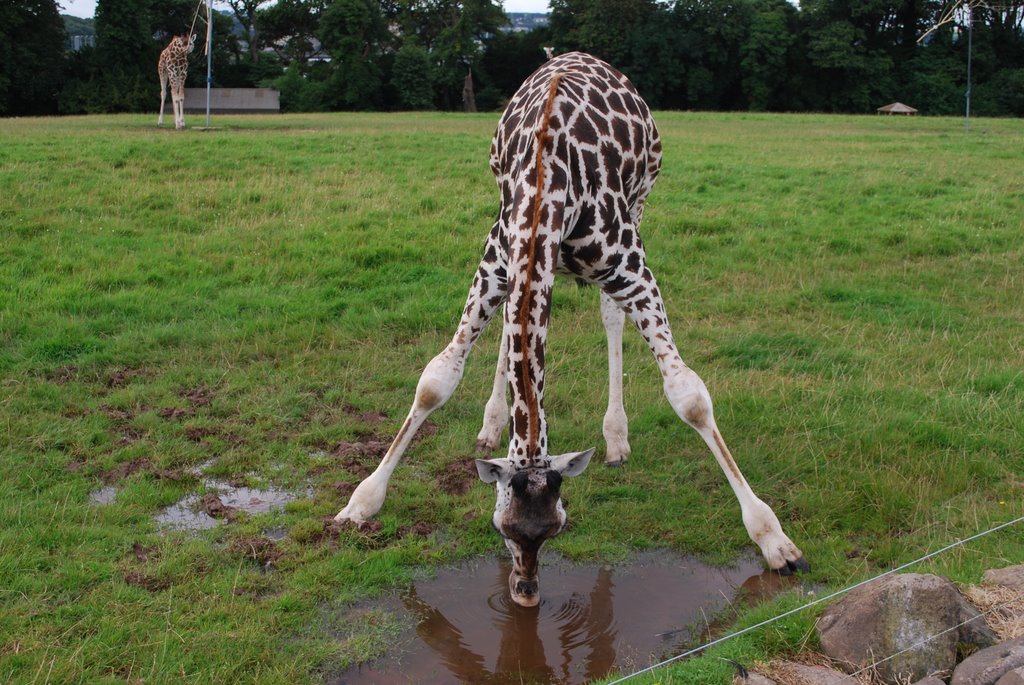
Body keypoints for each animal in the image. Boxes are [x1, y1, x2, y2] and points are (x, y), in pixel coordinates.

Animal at [335, 54, 806, 610]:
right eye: (501, 527)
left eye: (556, 527)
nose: (524, 595)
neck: (549, 177)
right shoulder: (496, 262)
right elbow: (436, 380)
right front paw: (360, 503)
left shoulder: (631, 269)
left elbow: (688, 395)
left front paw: (774, 539)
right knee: (509, 328)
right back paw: (492, 422)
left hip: (641, 202)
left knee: (609, 314)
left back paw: (616, 438)